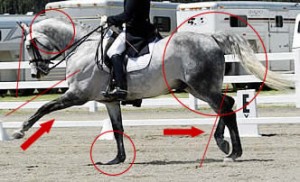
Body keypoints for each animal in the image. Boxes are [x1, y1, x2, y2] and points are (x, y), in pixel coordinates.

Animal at [12, 17, 292, 164]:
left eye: (28, 45)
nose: (36, 73)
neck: (82, 48)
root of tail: (211, 38)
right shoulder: (109, 101)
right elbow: (117, 128)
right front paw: (117, 159)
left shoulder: (77, 95)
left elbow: (43, 108)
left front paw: (19, 131)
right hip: (197, 87)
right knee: (226, 106)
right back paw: (227, 147)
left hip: (201, 86)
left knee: (226, 106)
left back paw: (231, 151)